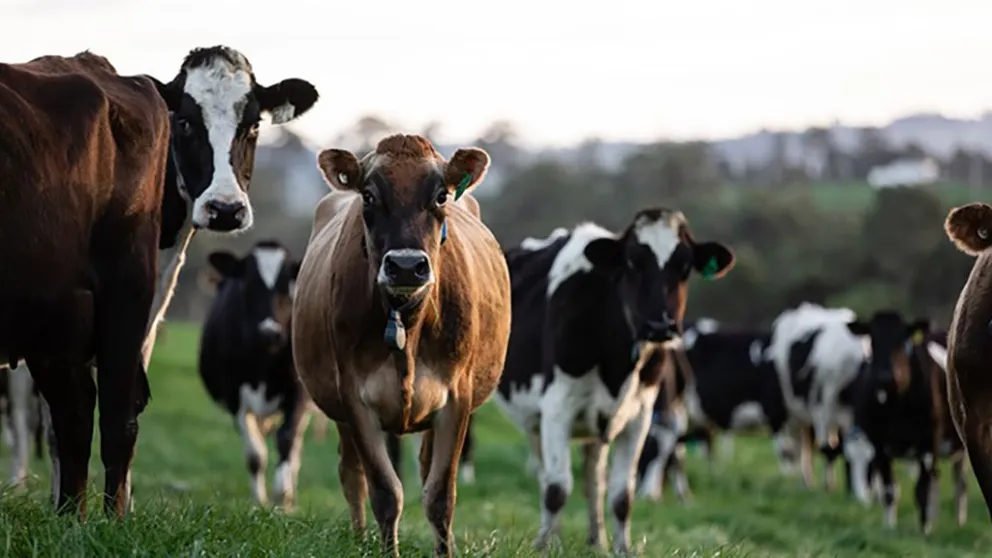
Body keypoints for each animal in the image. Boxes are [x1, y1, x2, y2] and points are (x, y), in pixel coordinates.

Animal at [197, 240, 313, 510]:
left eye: (288, 286)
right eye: (247, 285)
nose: (269, 332)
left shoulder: (298, 392)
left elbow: (287, 440)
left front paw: (283, 497)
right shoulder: (234, 397)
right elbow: (255, 455)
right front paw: (259, 501)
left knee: (296, 449)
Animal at [292, 134, 510, 557]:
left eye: (441, 195)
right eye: (368, 195)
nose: (407, 266)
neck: (406, 323)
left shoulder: (457, 397)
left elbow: (440, 495)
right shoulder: (354, 396)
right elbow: (385, 492)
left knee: (425, 471)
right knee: (351, 473)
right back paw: (359, 539)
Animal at [493, 213, 735, 553]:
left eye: (685, 267)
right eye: (632, 263)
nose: (660, 326)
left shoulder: (640, 416)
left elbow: (622, 495)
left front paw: (622, 549)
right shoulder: (557, 409)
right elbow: (557, 488)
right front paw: (548, 548)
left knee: (594, 478)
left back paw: (596, 541)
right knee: (547, 476)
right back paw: (547, 539)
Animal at [765, 303, 868, 492]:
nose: (861, 494)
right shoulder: (822, 409)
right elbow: (828, 449)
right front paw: (830, 488)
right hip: (795, 411)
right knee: (801, 446)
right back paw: (807, 481)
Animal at [843, 311, 967, 533]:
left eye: (902, 342)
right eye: (872, 341)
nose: (885, 376)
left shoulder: (928, 443)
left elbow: (922, 490)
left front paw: (925, 530)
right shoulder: (879, 446)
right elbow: (889, 489)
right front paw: (889, 527)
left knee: (959, 483)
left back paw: (958, 521)